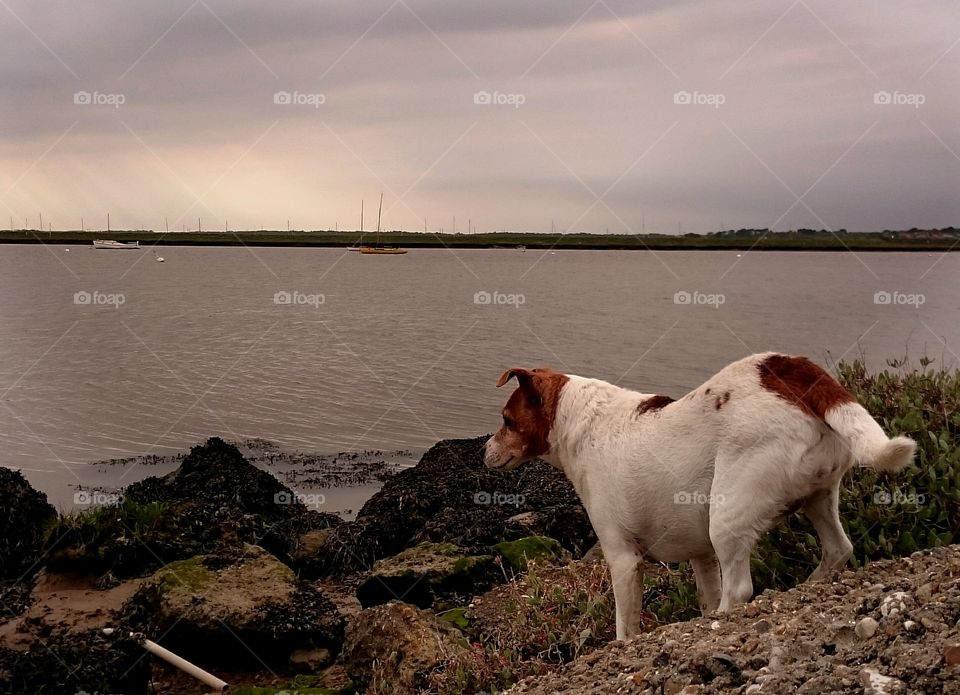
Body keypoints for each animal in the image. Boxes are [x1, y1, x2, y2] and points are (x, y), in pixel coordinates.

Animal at [484, 354, 920, 640]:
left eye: (507, 421)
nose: (484, 450)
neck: (577, 420)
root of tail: (789, 368)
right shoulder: (701, 555)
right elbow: (706, 592)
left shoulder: (623, 560)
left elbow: (625, 626)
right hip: (818, 498)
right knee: (838, 549)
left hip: (728, 517)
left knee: (740, 589)